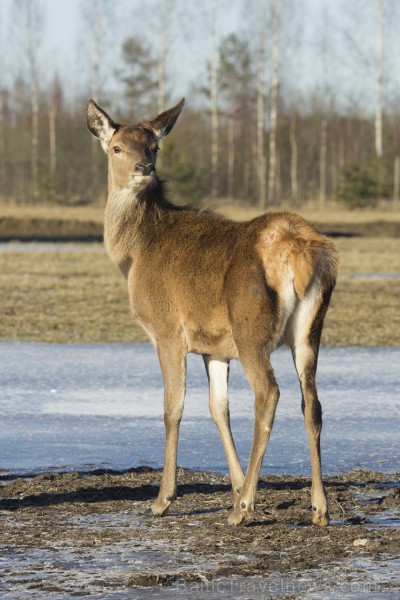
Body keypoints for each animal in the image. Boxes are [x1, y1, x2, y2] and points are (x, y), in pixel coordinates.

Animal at [86, 97, 338, 524]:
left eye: (154, 147)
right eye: (118, 147)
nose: (144, 169)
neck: (135, 254)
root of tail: (300, 250)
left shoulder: (168, 330)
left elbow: (173, 407)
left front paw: (163, 498)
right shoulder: (214, 346)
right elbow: (218, 408)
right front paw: (235, 487)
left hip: (251, 326)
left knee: (269, 394)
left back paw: (244, 510)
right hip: (310, 330)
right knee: (312, 403)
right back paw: (318, 507)